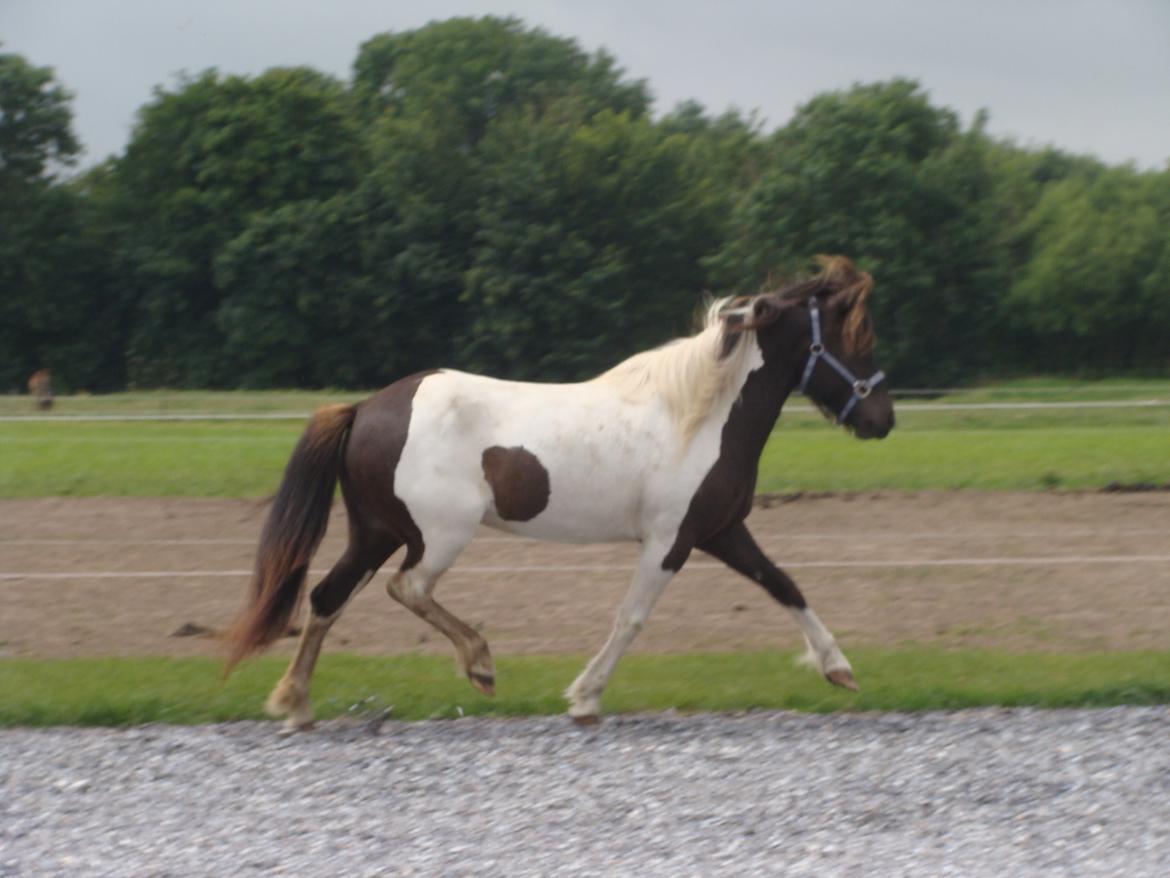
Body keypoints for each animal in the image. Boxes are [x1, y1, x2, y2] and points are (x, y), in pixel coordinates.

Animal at [221, 257, 893, 730]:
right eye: (856, 340)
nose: (882, 420)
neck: (696, 417)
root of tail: (363, 408)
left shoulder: (722, 530)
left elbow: (784, 584)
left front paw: (840, 669)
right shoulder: (670, 539)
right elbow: (631, 617)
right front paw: (584, 697)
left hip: (376, 531)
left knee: (327, 596)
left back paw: (296, 705)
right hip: (437, 535)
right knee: (406, 588)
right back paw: (480, 664)